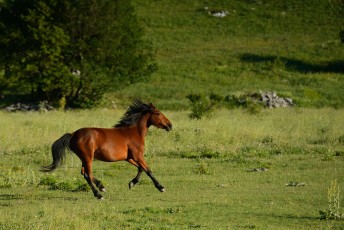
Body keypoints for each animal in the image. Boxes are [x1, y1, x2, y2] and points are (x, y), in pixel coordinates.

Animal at [41, 99, 172, 199]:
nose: (170, 125)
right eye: (158, 113)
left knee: (84, 173)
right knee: (88, 174)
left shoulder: (129, 158)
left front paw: (131, 183)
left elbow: (140, 168)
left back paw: (100, 189)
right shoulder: (137, 156)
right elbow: (148, 170)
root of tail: (73, 134)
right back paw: (100, 192)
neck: (133, 132)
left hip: (84, 158)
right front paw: (161, 187)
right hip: (88, 157)